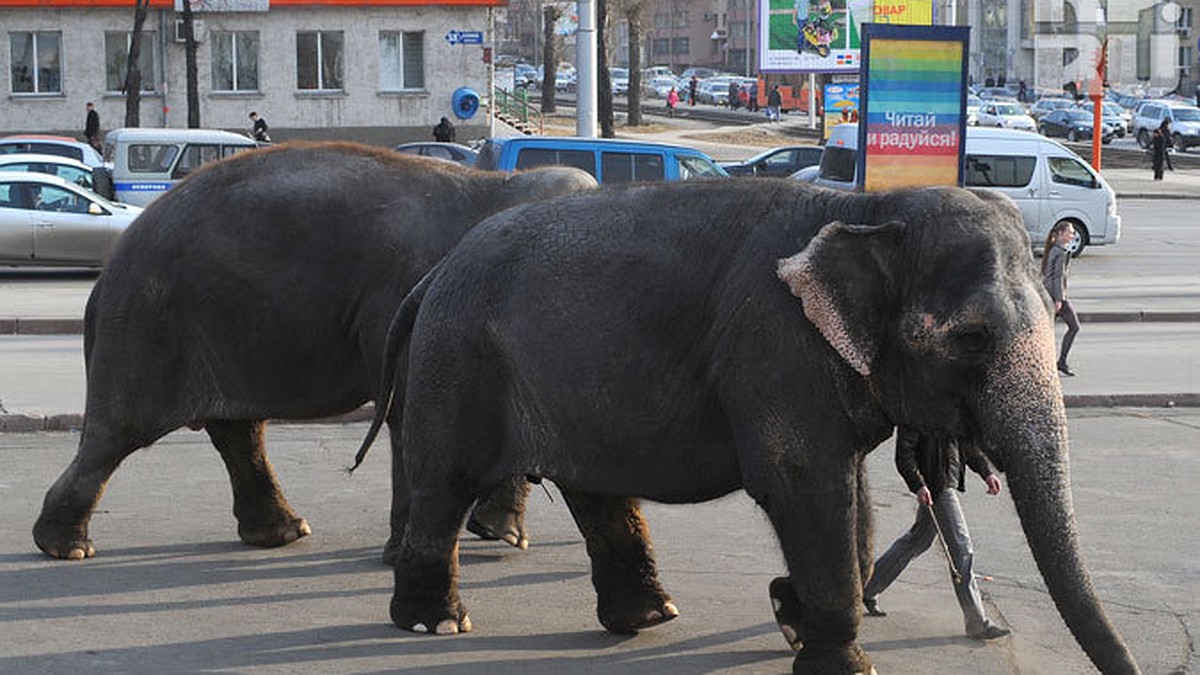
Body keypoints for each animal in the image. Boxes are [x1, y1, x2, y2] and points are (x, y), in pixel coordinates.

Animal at [35, 140, 597, 562]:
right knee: (119, 431)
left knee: (238, 432)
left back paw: (283, 533)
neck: (501, 189)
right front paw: (426, 549)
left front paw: (499, 534)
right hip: (148, 328)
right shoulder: (404, 299)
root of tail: (109, 270)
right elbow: (410, 409)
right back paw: (67, 548)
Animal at [357, 180, 1142, 672]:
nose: (1132, 667)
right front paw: (839, 657)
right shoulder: (774, 344)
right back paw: (436, 624)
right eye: (973, 337)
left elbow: (849, 490)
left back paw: (650, 617)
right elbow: (805, 486)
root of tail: (433, 275)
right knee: (445, 482)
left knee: (597, 491)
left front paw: (789, 611)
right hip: (457, 365)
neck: (865, 206)